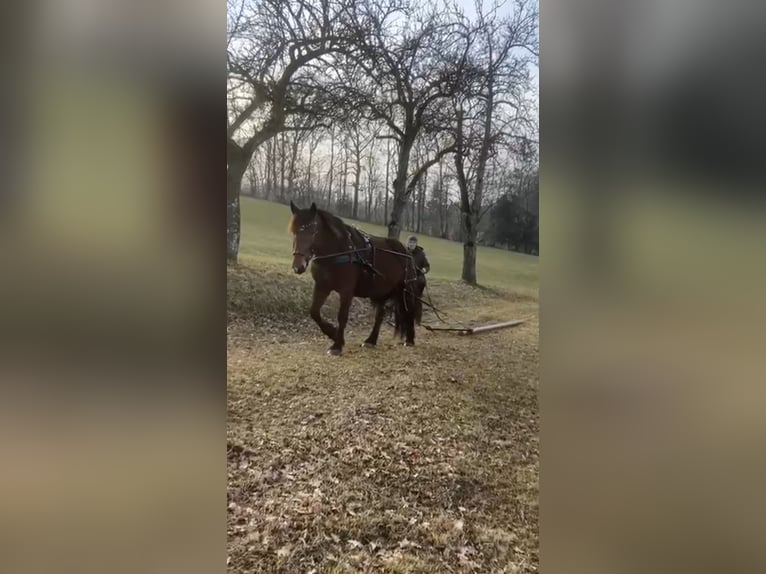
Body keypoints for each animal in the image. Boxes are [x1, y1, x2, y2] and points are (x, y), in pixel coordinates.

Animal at [288, 200, 420, 355]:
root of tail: (406, 251)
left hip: (406, 290)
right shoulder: (322, 286)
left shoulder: (347, 291)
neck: (339, 251)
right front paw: (332, 333)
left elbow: (342, 316)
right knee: (380, 315)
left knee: (409, 311)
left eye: (313, 232)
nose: (298, 266)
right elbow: (314, 312)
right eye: (294, 232)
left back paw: (409, 339)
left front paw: (337, 345)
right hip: (380, 292)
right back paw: (371, 340)